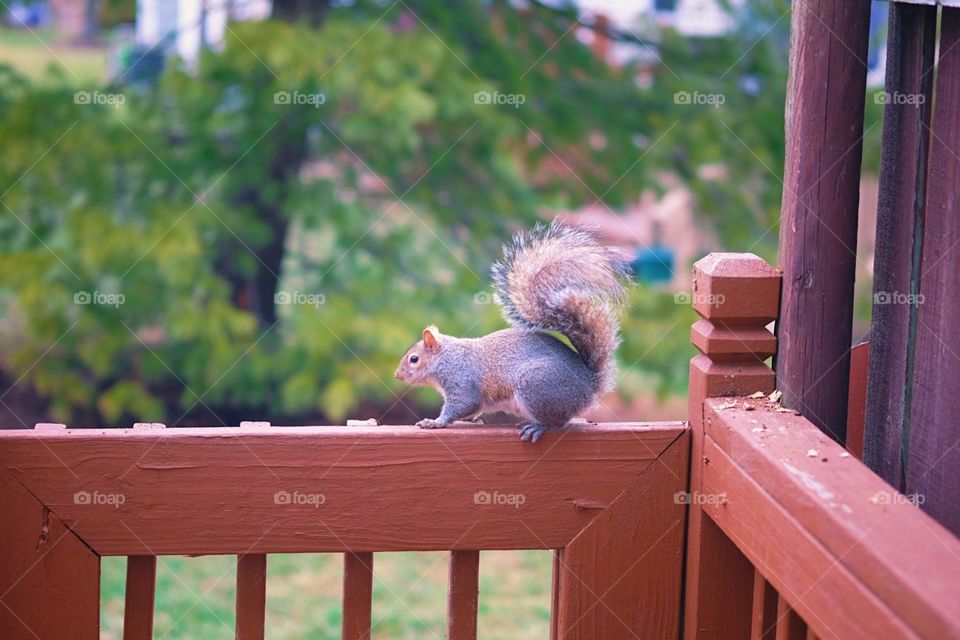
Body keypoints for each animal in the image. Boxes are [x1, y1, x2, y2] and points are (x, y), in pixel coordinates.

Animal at [392, 219, 632, 440]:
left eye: (413, 359)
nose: (397, 375)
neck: (446, 358)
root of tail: (590, 386)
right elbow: (473, 410)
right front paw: (472, 420)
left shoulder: (461, 382)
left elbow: (461, 406)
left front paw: (434, 422)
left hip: (536, 386)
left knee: (558, 422)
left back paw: (538, 427)